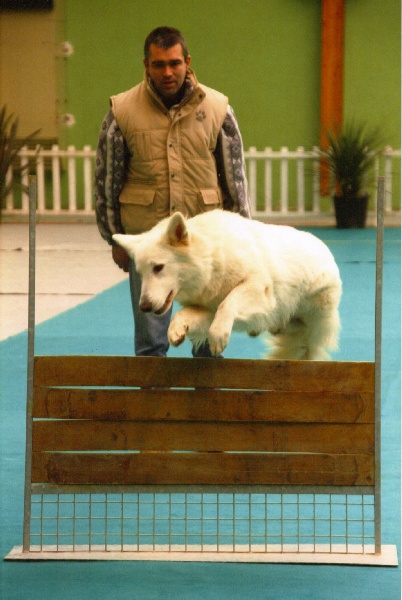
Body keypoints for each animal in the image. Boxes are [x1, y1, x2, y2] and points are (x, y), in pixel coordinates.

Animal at [114, 210, 342, 358]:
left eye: (159, 267)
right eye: (141, 273)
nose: (144, 306)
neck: (212, 260)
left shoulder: (258, 286)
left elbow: (228, 303)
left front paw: (218, 338)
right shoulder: (207, 308)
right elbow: (186, 314)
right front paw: (177, 329)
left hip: (317, 305)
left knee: (310, 341)